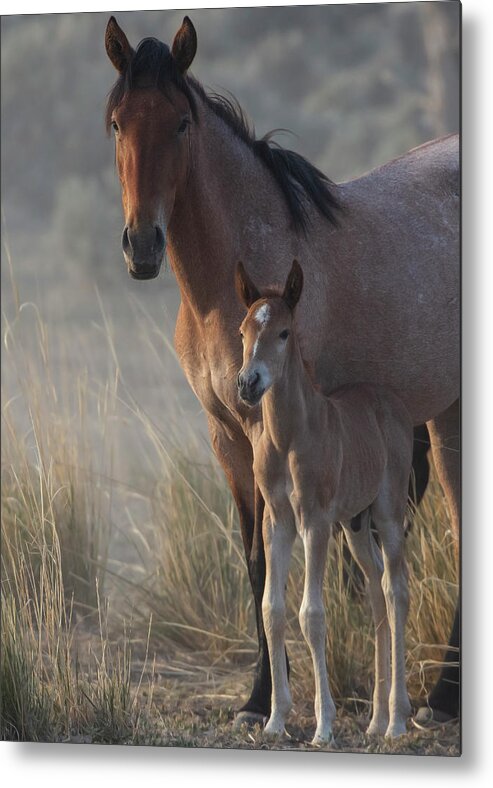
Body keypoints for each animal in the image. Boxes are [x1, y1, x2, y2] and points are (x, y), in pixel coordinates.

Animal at [236, 260, 414, 744]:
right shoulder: (277, 521)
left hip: (388, 512)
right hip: (355, 524)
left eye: (284, 332)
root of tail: (391, 402)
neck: (289, 435)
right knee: (376, 590)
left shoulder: (313, 522)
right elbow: (272, 609)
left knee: (396, 590)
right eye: (242, 331)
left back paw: (396, 720)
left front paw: (323, 726)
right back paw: (374, 721)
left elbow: (312, 614)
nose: (248, 383)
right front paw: (275, 721)